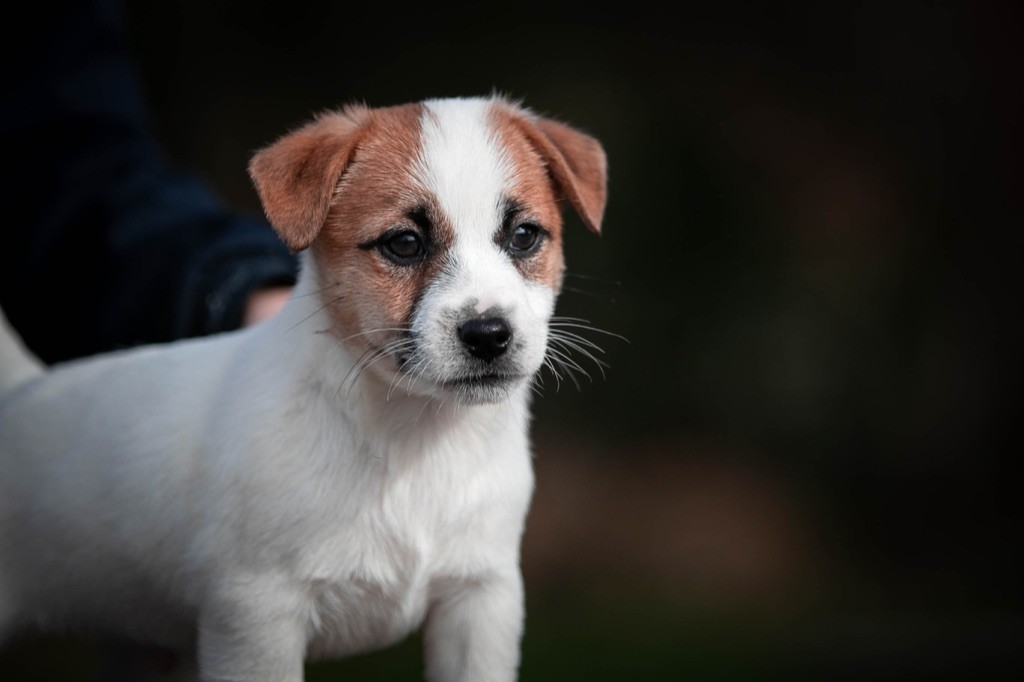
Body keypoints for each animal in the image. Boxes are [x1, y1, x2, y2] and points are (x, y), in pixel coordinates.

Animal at [0, 96, 606, 679]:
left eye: (524, 236)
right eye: (404, 244)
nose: (489, 334)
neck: (413, 440)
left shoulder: (480, 599)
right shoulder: (255, 618)